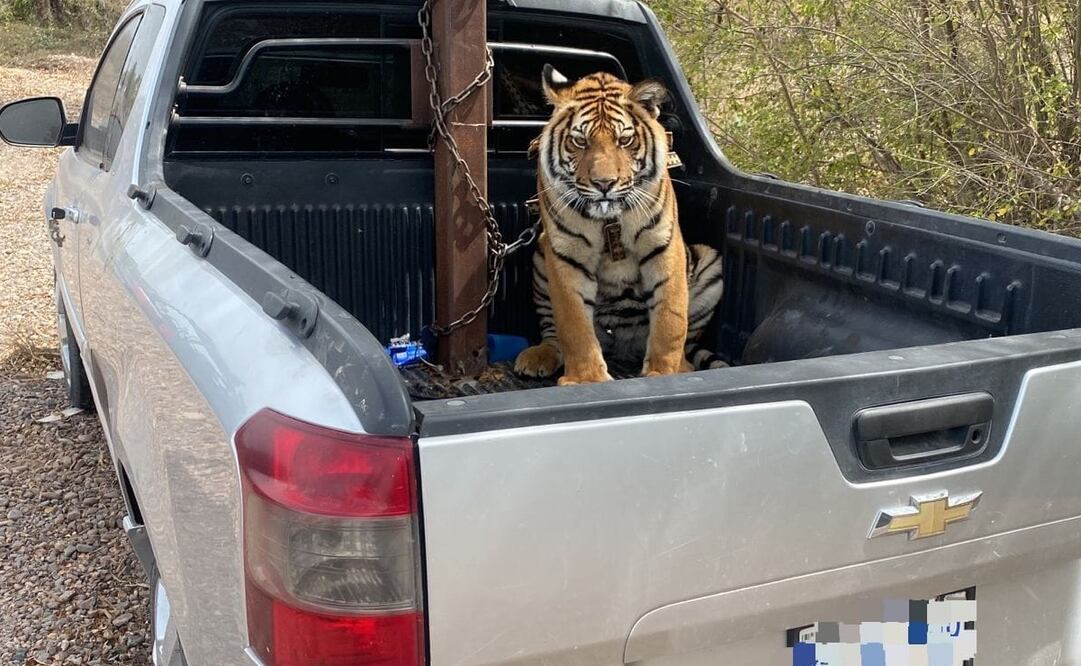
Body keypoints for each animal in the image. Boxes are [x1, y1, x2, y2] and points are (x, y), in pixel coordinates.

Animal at [514, 66, 727, 385]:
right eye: (580, 141)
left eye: (624, 140)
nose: (604, 184)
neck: (609, 220)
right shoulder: (566, 255)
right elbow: (573, 325)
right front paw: (587, 379)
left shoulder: (664, 246)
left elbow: (671, 319)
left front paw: (664, 373)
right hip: (541, 255)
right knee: (553, 334)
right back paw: (538, 356)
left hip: (710, 263)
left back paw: (685, 366)